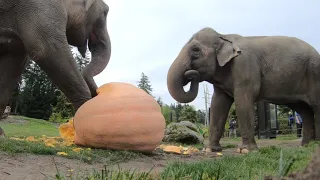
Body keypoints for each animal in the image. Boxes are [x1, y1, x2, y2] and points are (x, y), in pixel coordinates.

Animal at [166, 27, 320, 153]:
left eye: (196, 50)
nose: (190, 74)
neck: (224, 36)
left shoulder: (244, 66)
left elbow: (242, 102)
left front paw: (245, 151)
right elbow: (217, 105)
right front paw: (210, 150)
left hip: (314, 73)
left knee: (315, 107)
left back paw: (315, 145)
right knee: (304, 110)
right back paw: (306, 146)